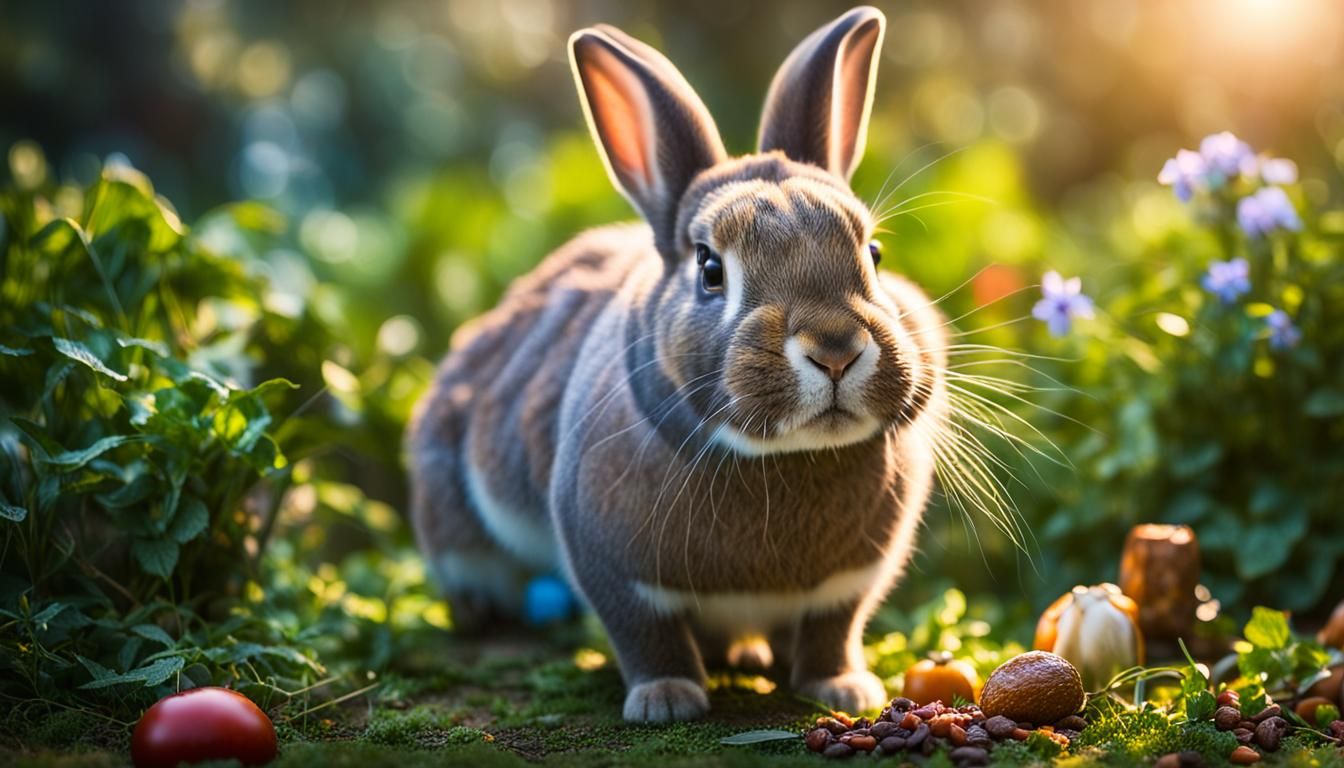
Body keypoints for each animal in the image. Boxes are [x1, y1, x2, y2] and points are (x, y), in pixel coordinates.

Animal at [407, 5, 948, 722]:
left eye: (875, 254)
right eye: (710, 269)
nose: (836, 349)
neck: (782, 457)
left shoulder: (850, 583)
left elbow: (833, 629)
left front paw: (843, 689)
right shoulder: (615, 573)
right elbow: (647, 635)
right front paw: (666, 700)